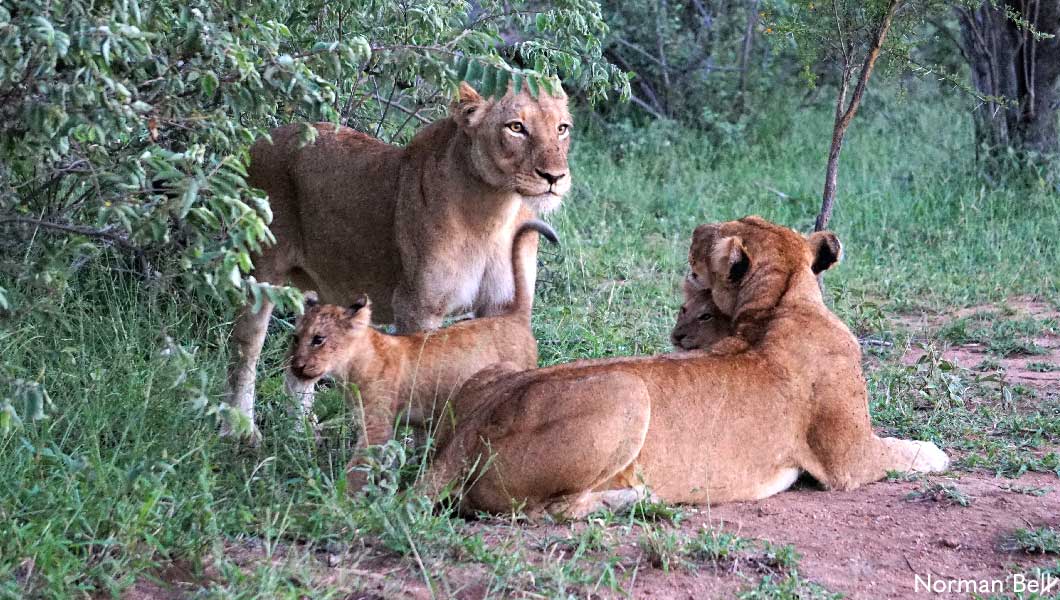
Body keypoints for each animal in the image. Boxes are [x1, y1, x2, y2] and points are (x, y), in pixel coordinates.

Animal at [223, 82, 572, 436]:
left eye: (562, 128)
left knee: (300, 366)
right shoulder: (418, 307)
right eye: (516, 127)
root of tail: (263, 138)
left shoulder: (500, 310)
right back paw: (241, 431)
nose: (555, 177)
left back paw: (302, 436)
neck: (494, 213)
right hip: (262, 269)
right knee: (245, 352)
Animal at [286, 218, 559, 491]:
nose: (296, 366)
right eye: (296, 338)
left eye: (318, 340)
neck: (351, 366)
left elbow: (358, 468)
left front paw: (337, 495)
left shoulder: (377, 424)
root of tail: (514, 316)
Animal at [417, 217, 949, 521]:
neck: (779, 303)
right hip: (628, 391)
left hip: (486, 377)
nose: (696, 228)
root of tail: (470, 429)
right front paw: (937, 454)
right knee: (546, 511)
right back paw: (637, 500)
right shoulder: (848, 460)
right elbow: (905, 451)